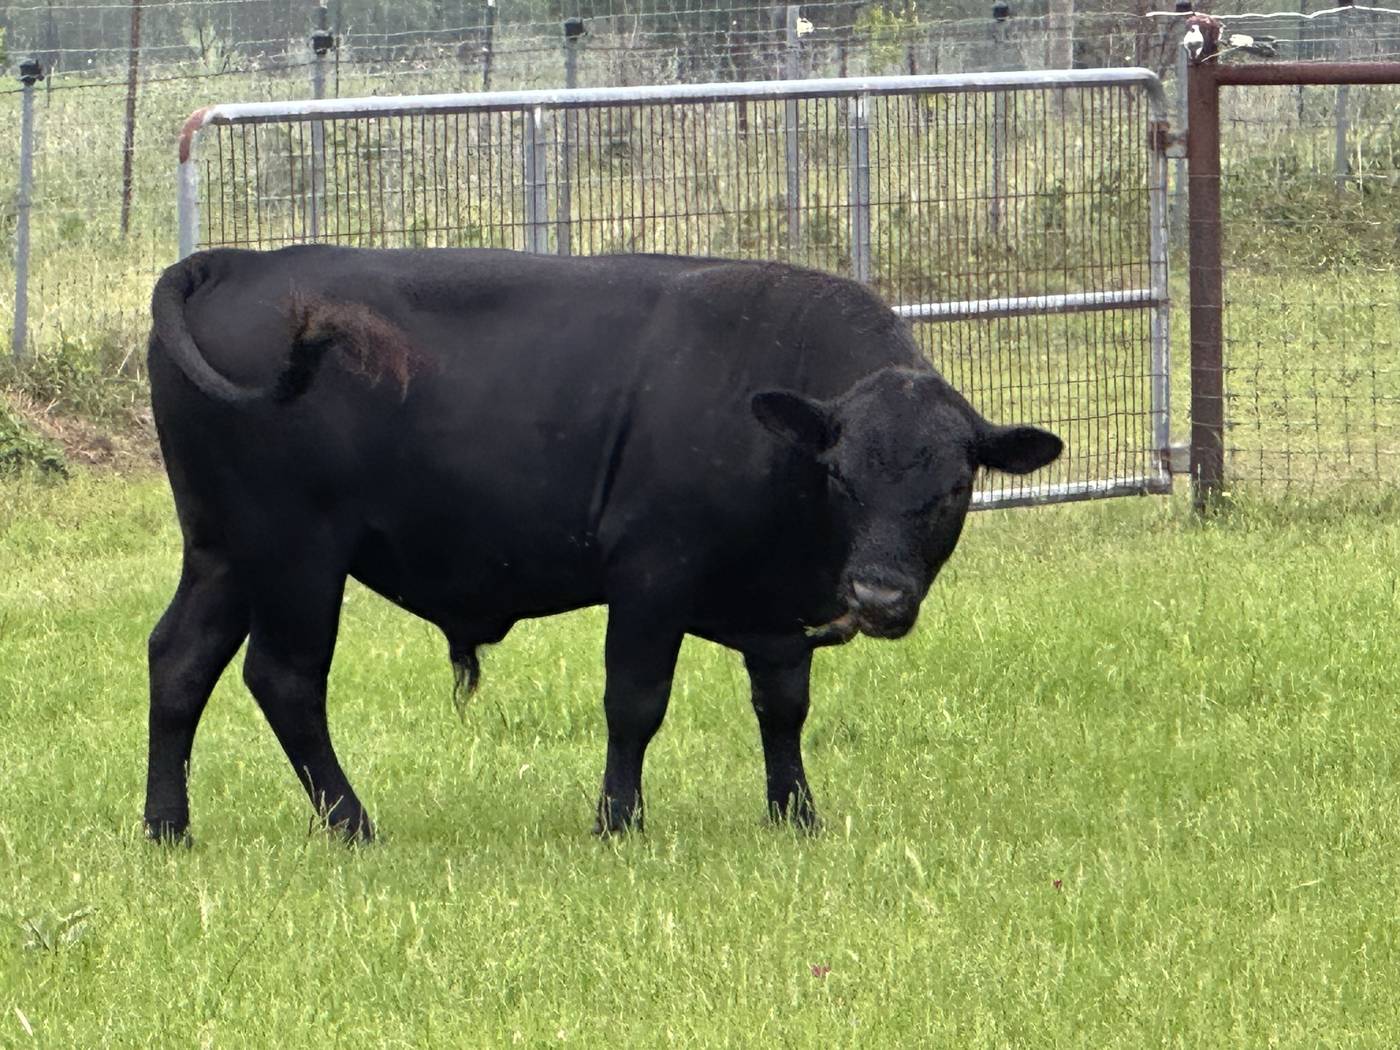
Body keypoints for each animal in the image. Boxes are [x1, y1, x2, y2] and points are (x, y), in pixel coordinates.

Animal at [143, 246, 1061, 843]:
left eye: (955, 488)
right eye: (840, 476)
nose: (877, 595)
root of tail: (234, 261)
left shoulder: (781, 610)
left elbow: (783, 706)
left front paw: (796, 816)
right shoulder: (652, 572)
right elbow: (636, 701)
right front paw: (619, 821)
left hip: (223, 552)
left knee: (180, 660)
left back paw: (167, 827)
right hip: (295, 552)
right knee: (285, 679)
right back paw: (352, 824)